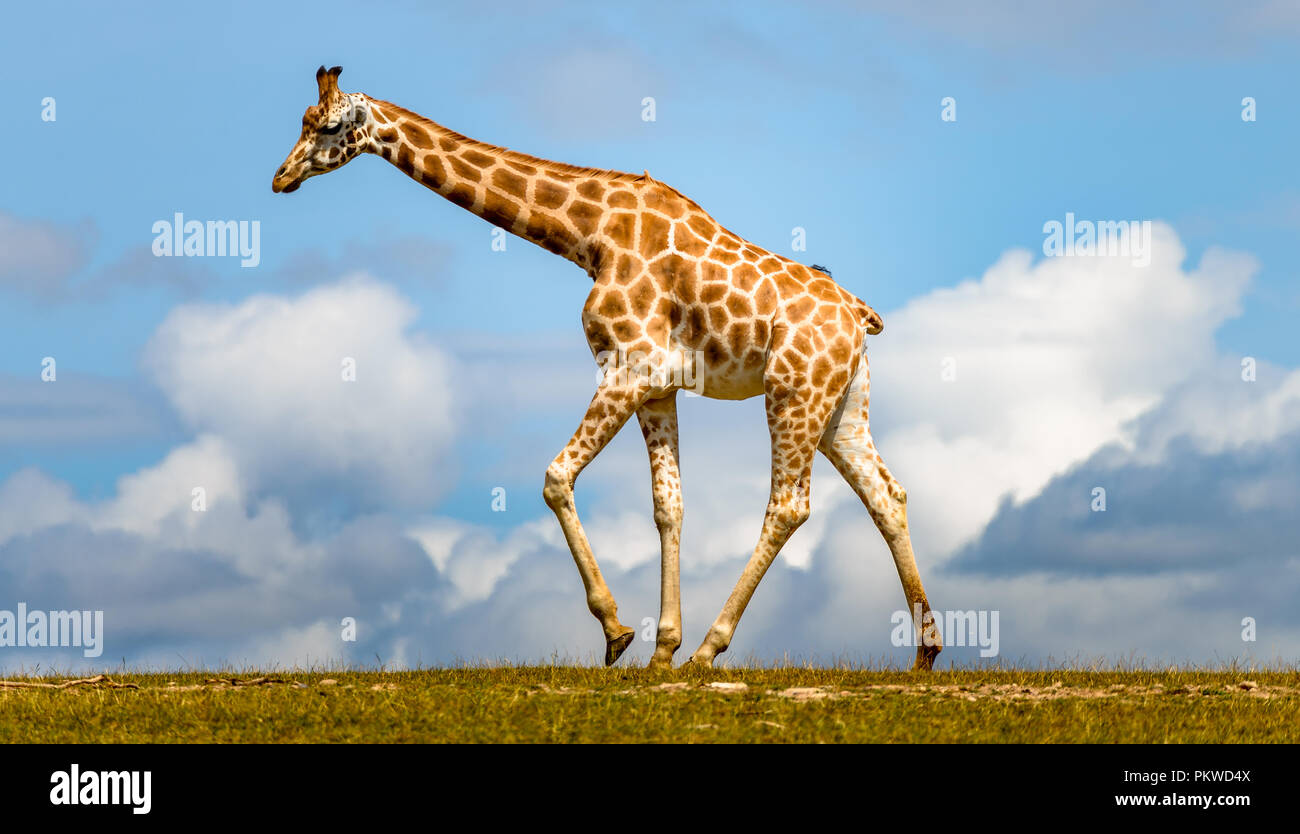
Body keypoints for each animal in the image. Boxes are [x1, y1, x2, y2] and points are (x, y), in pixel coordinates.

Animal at [276, 68, 946, 670]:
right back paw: (925, 649)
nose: (281, 177)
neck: (588, 234)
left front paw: (619, 632)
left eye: (329, 125)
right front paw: (661, 648)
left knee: (788, 504)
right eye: (302, 120)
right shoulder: (657, 387)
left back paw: (711, 649)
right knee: (887, 494)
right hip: (842, 405)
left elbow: (555, 477)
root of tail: (858, 316)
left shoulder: (628, 369)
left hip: (792, 391)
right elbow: (668, 506)